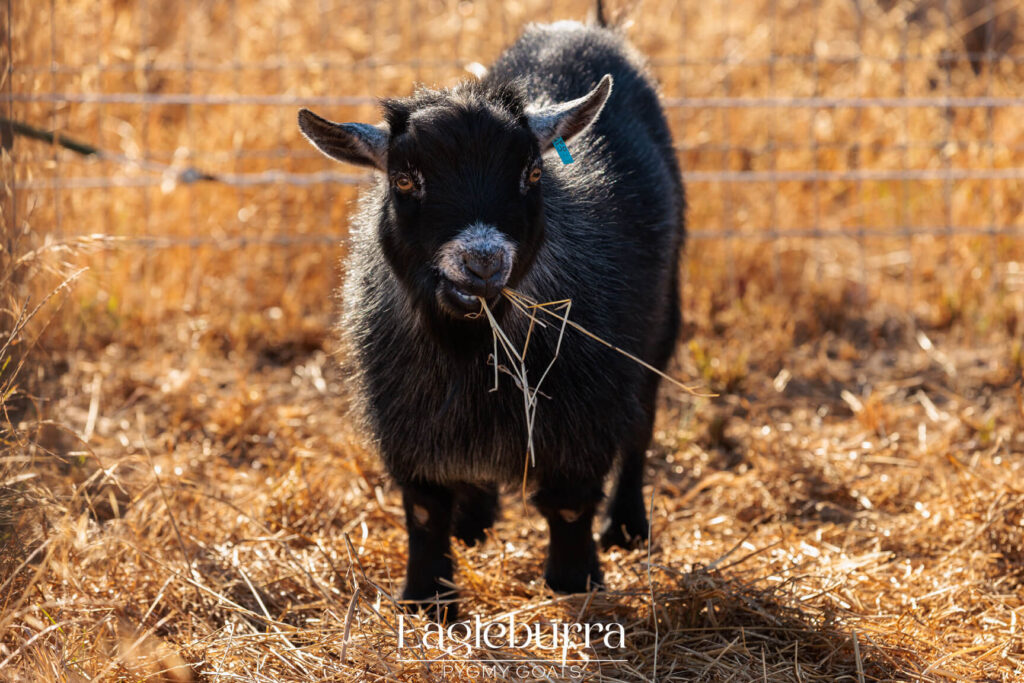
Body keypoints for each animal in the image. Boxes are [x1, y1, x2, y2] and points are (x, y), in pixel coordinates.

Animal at [299, 15, 684, 626]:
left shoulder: (584, 410)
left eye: (532, 172)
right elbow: (425, 510)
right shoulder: (406, 418)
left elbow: (570, 505)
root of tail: (585, 27)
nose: (482, 261)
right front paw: (426, 599)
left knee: (642, 426)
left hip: (660, 322)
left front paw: (575, 582)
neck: (469, 342)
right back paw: (475, 520)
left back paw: (627, 527)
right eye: (404, 179)